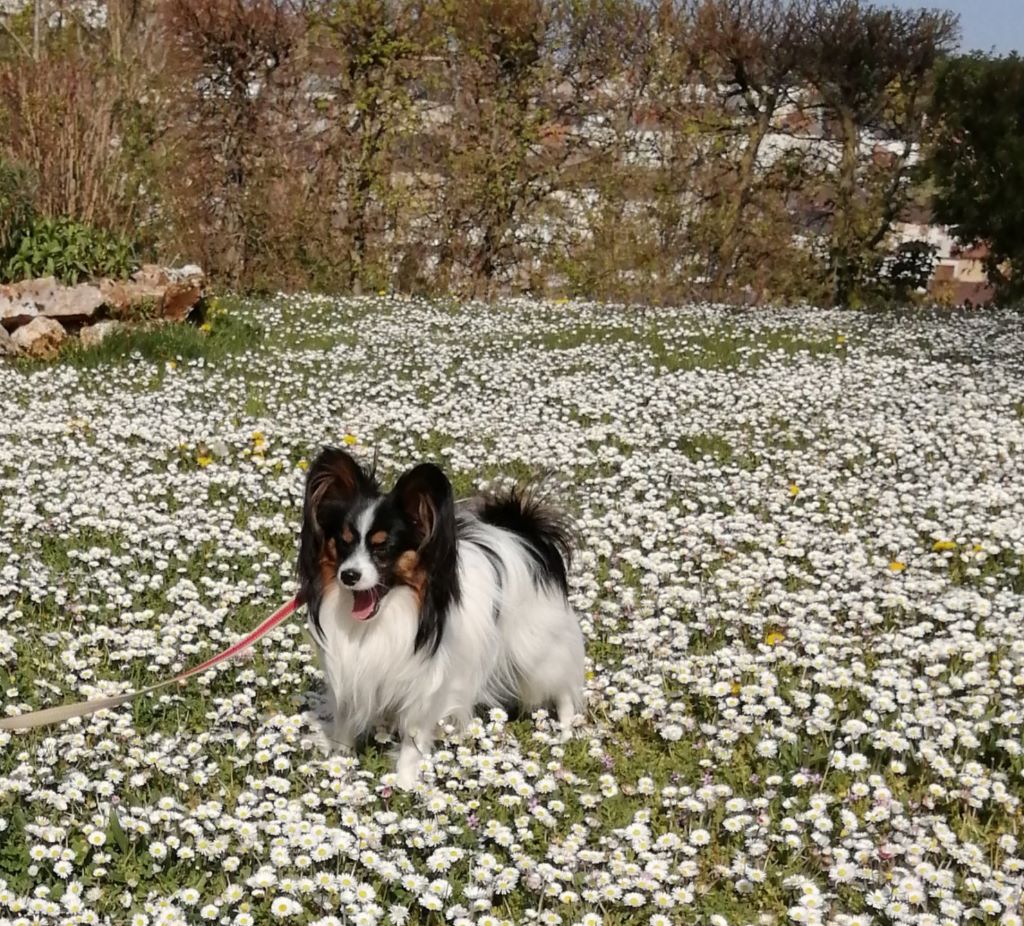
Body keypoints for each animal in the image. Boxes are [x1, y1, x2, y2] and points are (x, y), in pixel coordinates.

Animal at [296, 448, 585, 786]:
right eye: (344, 542)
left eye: (384, 548)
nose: (349, 575)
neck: (387, 614)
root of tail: (521, 531)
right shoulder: (349, 673)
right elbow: (344, 723)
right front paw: (338, 764)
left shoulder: (425, 683)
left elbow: (413, 735)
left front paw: (406, 782)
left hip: (536, 648)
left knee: (562, 682)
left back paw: (565, 731)